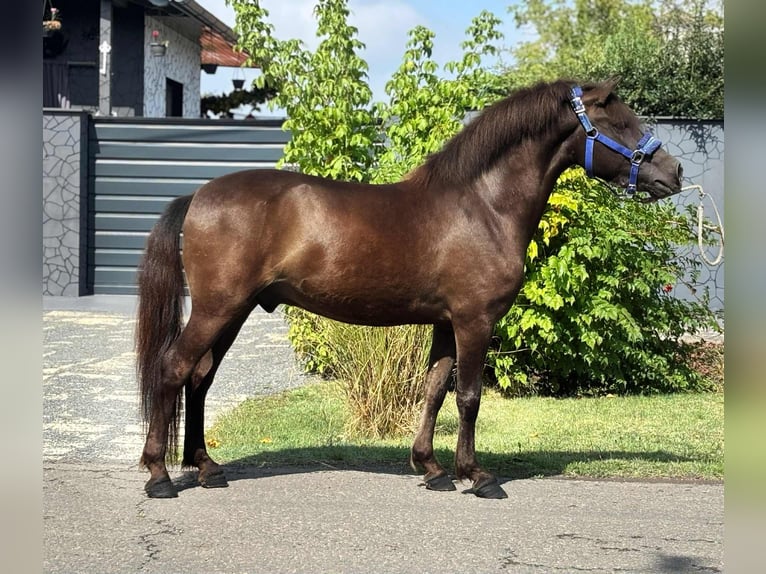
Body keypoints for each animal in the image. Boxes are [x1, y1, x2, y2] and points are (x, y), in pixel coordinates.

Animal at [136, 79, 683, 499]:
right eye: (620, 123)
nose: (673, 172)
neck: (483, 205)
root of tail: (197, 195)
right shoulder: (474, 320)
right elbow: (468, 396)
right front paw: (477, 476)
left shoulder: (446, 321)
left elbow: (435, 389)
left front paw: (432, 468)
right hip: (217, 307)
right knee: (173, 368)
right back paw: (160, 475)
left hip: (235, 310)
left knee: (199, 378)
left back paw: (206, 468)